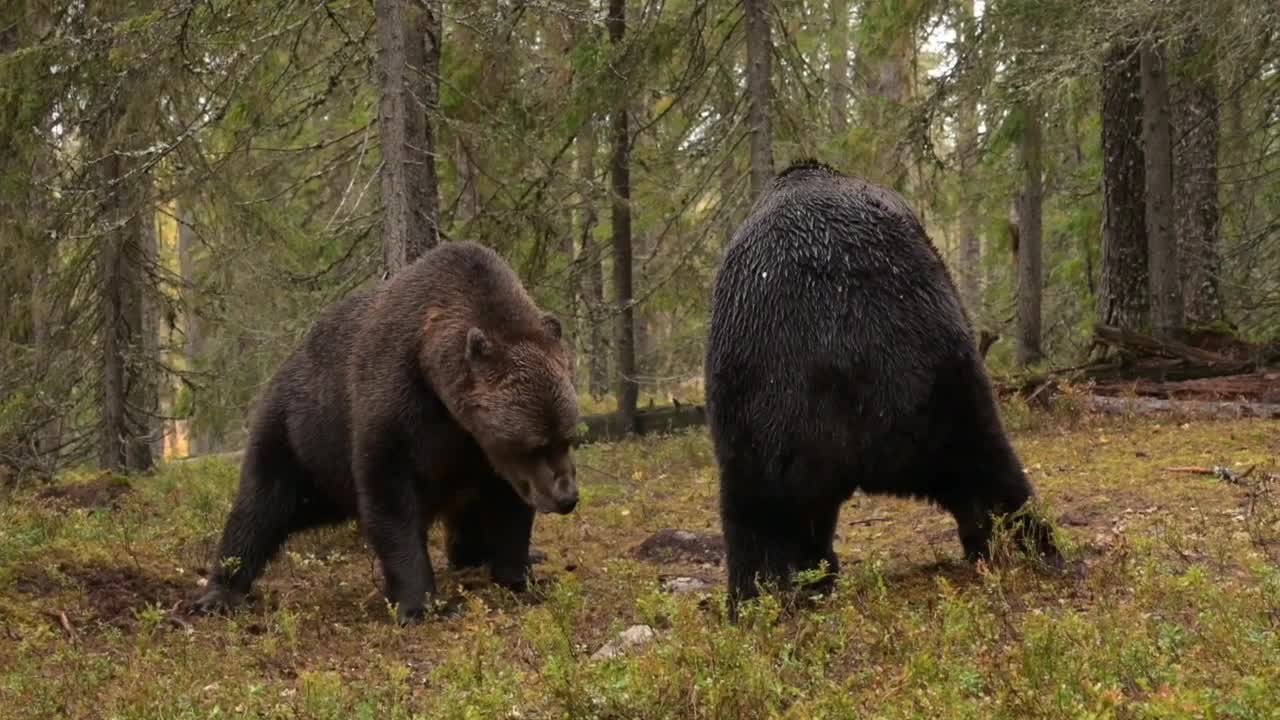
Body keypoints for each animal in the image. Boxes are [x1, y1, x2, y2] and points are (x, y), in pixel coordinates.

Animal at [190, 240, 581, 622]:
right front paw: (422, 604)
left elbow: (509, 505)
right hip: (299, 434)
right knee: (262, 506)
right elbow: (391, 496)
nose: (567, 498)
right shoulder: (396, 402)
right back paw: (219, 593)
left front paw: (521, 576)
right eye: (535, 445)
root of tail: (285, 364)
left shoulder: (480, 453)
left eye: (567, 437)